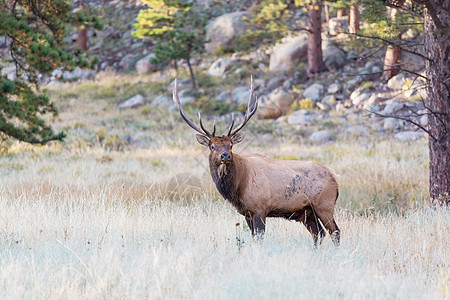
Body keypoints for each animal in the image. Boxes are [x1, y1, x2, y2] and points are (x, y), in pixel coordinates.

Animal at [172, 77, 342, 246]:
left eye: (231, 145)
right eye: (212, 146)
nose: (225, 156)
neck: (239, 186)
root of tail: (335, 177)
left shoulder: (260, 208)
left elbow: (259, 238)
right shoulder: (247, 213)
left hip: (324, 204)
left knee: (335, 232)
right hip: (307, 211)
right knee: (319, 233)